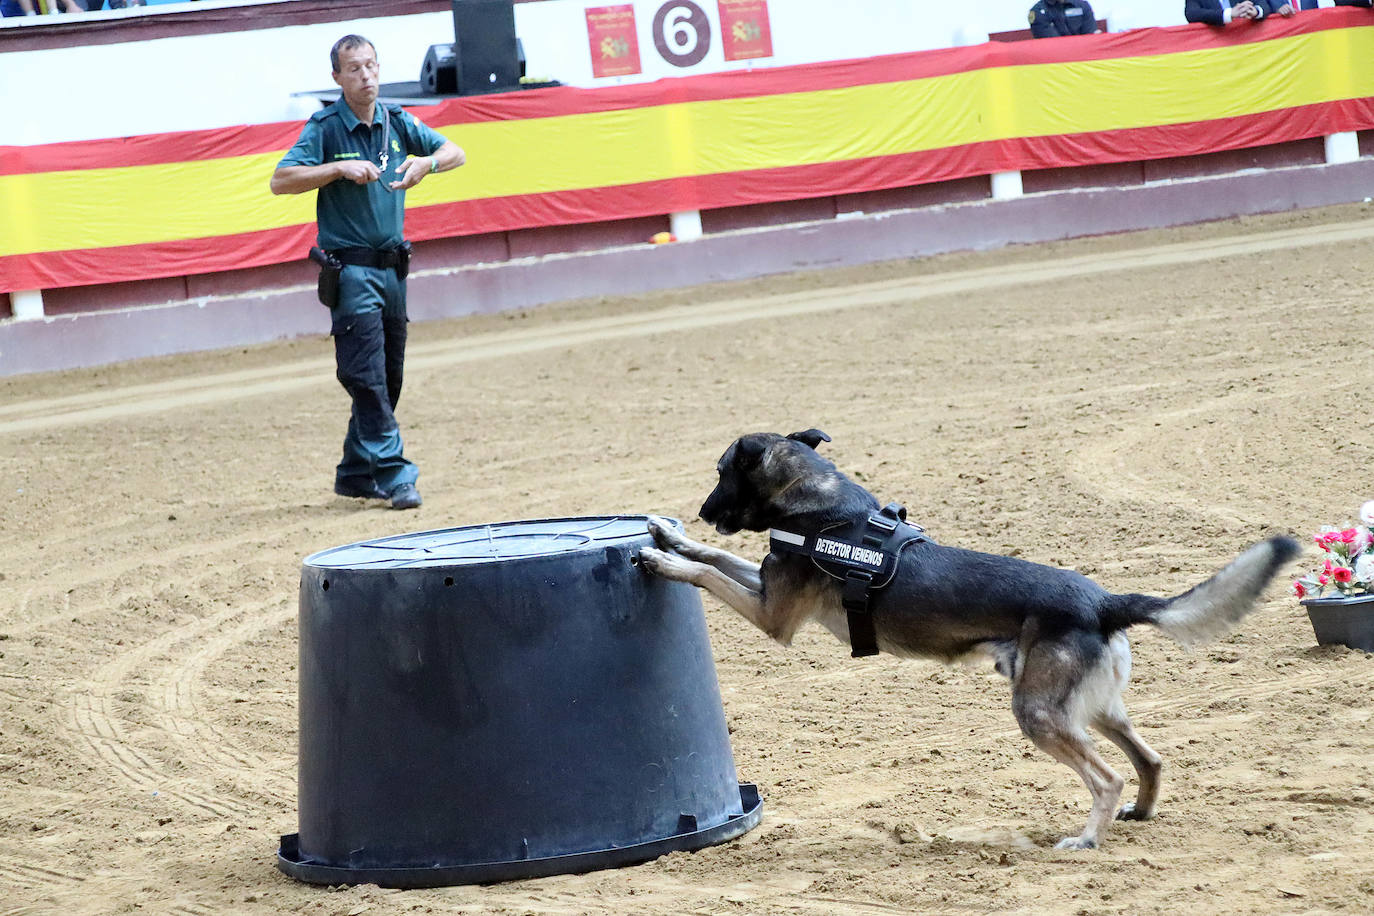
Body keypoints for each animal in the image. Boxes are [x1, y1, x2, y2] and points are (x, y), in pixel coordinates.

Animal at [637, 431, 1291, 851]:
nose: (702, 509)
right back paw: (1141, 813)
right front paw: (669, 535)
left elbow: (710, 573)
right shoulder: (769, 589)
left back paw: (1086, 839)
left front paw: (663, 561)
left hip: (1039, 713)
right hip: (1090, 706)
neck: (819, 502)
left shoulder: (772, 615)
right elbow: (717, 557)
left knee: (1107, 777)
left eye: (720, 473)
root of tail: (1104, 602)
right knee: (1149, 759)